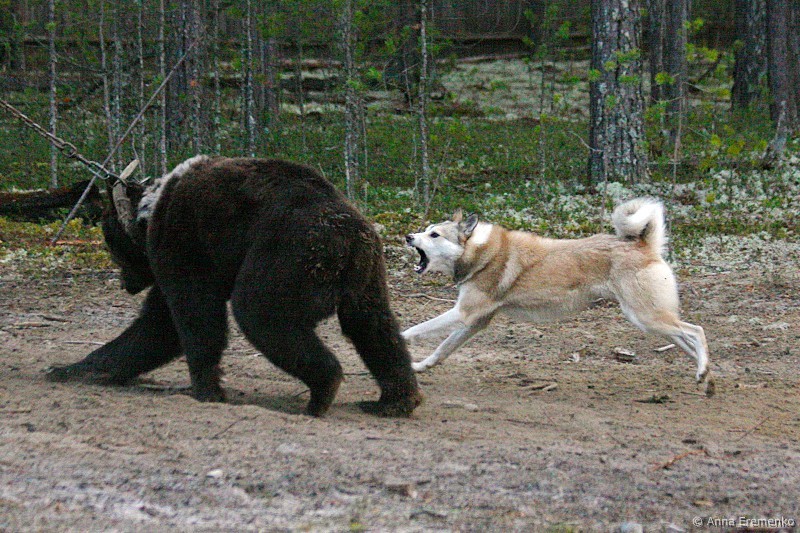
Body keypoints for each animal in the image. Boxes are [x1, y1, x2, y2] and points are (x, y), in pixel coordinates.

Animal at [47, 156, 423, 417]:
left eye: (111, 244)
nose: (125, 283)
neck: (150, 213)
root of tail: (347, 236)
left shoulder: (183, 245)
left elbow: (191, 319)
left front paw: (206, 389)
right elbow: (155, 328)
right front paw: (70, 369)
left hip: (289, 252)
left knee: (260, 314)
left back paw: (322, 390)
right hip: (366, 274)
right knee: (374, 328)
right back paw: (394, 400)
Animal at [403, 199, 713, 395]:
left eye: (434, 234)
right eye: (425, 230)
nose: (408, 237)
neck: (478, 251)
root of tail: (644, 245)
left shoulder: (463, 314)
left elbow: (415, 329)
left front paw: (400, 339)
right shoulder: (474, 322)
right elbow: (442, 350)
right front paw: (420, 367)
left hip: (648, 317)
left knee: (697, 331)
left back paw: (702, 371)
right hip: (650, 321)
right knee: (688, 341)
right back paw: (706, 375)